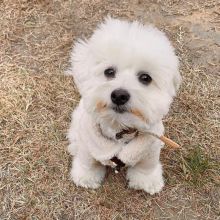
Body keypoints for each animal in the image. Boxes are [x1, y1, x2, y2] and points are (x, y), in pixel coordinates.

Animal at [66, 18, 180, 195]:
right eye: (109, 72)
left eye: (145, 78)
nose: (119, 95)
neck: (119, 127)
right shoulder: (89, 146)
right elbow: (88, 162)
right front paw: (87, 177)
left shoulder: (149, 151)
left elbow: (147, 167)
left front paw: (146, 181)